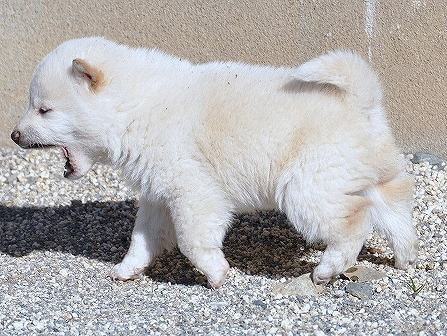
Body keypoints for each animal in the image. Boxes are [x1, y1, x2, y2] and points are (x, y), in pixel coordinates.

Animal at [11, 37, 416, 288]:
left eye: (44, 110)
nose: (14, 135)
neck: (132, 108)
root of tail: (362, 101)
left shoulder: (191, 190)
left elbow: (193, 240)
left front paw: (217, 273)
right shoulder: (158, 194)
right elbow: (142, 237)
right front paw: (126, 270)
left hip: (307, 186)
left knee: (355, 222)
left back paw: (326, 270)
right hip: (361, 177)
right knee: (393, 208)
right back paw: (406, 258)